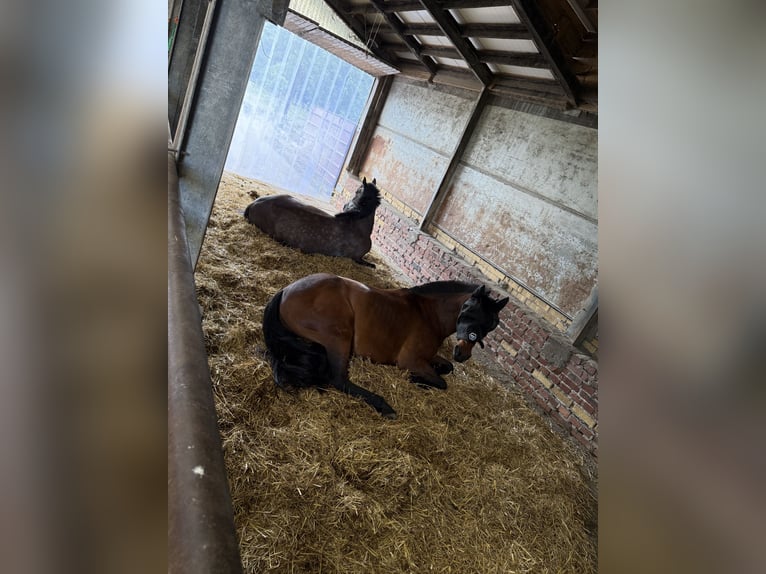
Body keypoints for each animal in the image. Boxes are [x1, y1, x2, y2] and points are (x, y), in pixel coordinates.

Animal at [262, 273, 509, 419]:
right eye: (470, 312)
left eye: (491, 325)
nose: (462, 354)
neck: (427, 314)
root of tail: (285, 291)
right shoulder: (410, 360)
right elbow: (441, 382)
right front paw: (416, 380)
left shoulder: (428, 357)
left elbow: (447, 368)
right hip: (338, 336)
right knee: (338, 379)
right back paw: (384, 406)